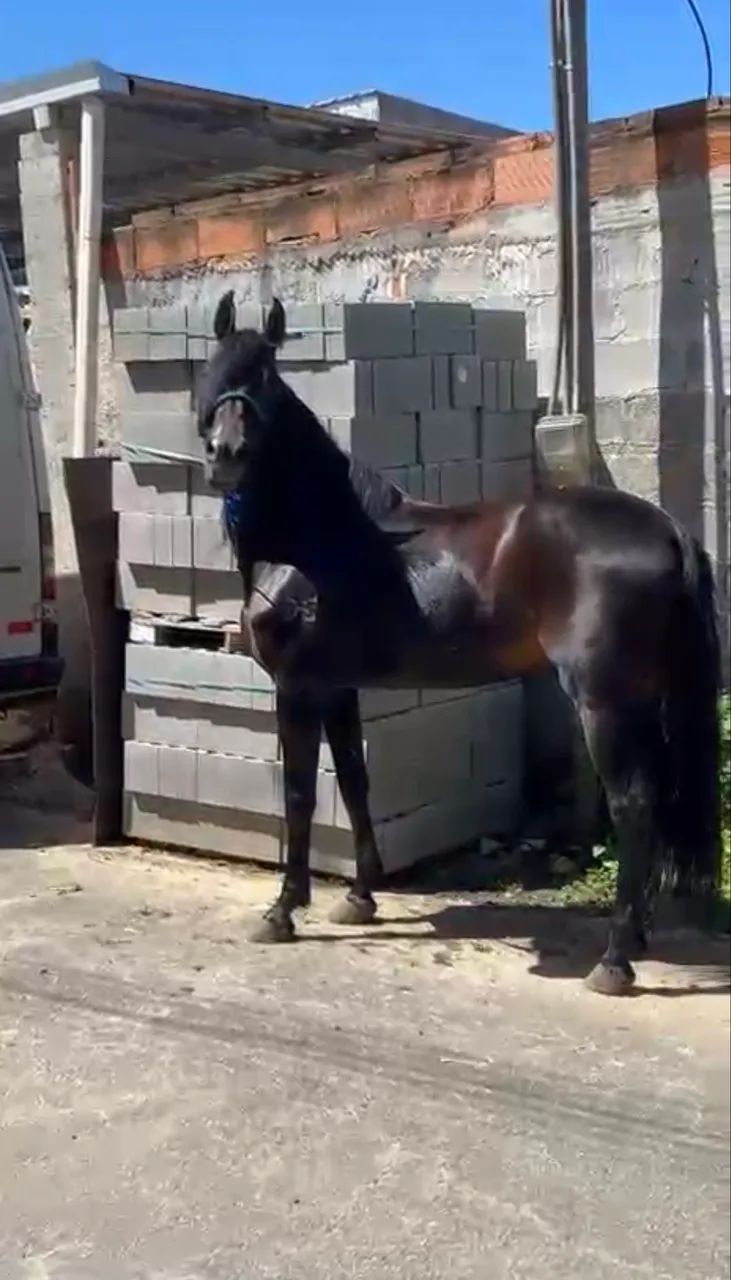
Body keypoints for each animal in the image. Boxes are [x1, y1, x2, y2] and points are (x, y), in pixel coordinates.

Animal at [196, 293, 721, 996]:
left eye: (268, 383)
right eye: (215, 369)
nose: (226, 451)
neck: (319, 538)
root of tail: (667, 529)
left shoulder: (298, 686)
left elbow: (301, 795)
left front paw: (282, 910)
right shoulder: (337, 686)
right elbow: (355, 780)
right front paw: (359, 898)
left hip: (605, 703)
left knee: (633, 805)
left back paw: (614, 961)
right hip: (644, 700)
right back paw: (634, 936)